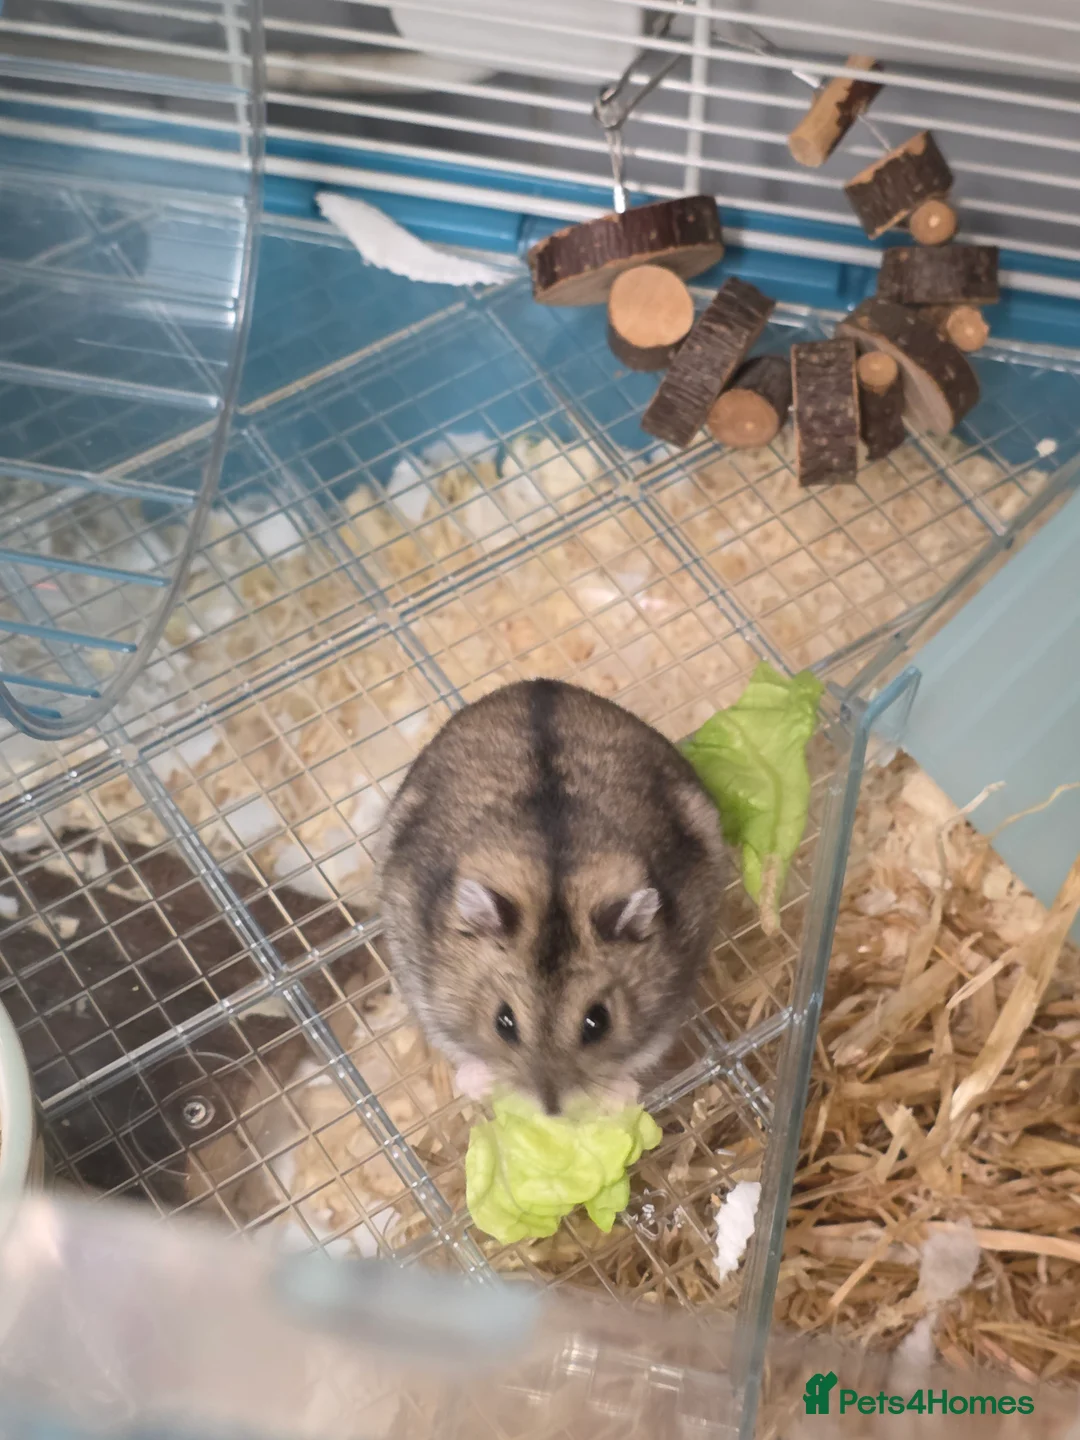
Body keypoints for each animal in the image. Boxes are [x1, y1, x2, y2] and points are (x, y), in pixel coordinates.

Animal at [378, 678, 726, 1115]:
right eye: (503, 1022)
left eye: (597, 1023)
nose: (551, 1110)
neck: (553, 881)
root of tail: (539, 683)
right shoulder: (424, 986)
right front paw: (478, 1083)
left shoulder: (670, 1004)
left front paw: (618, 1097)